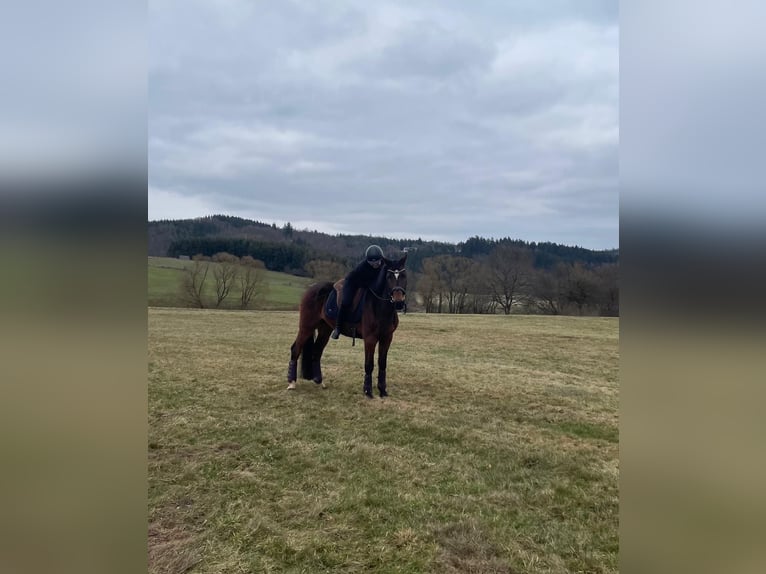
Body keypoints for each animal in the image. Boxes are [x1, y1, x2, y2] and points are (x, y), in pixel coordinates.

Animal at [287, 254, 407, 398]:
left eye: (404, 275)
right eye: (389, 277)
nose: (399, 302)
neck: (378, 306)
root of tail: (311, 289)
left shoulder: (387, 338)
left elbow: (382, 363)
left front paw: (382, 390)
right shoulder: (370, 339)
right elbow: (369, 364)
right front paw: (368, 391)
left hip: (324, 329)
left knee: (316, 351)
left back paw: (319, 382)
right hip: (306, 327)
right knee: (296, 349)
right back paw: (292, 383)